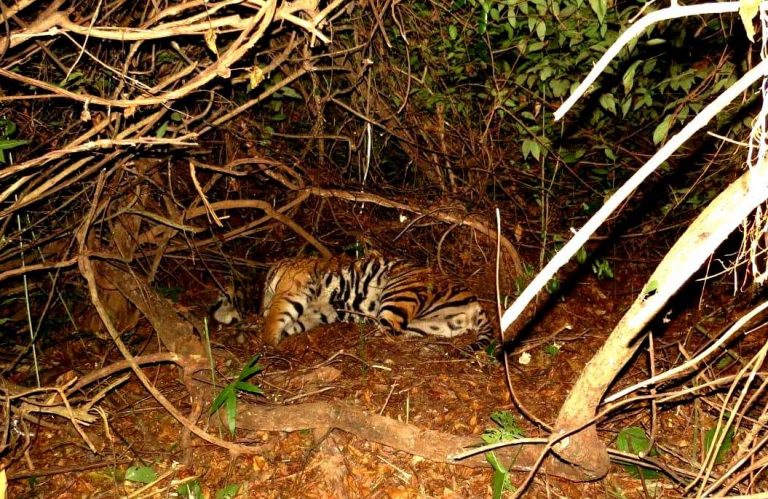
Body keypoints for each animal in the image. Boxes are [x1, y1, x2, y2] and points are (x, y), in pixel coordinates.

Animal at [258, 254, 494, 349]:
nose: (261, 309)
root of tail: (475, 302)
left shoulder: (291, 292)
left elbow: (275, 318)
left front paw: (268, 343)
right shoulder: (316, 312)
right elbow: (293, 323)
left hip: (399, 292)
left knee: (388, 331)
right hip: (434, 324)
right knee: (398, 333)